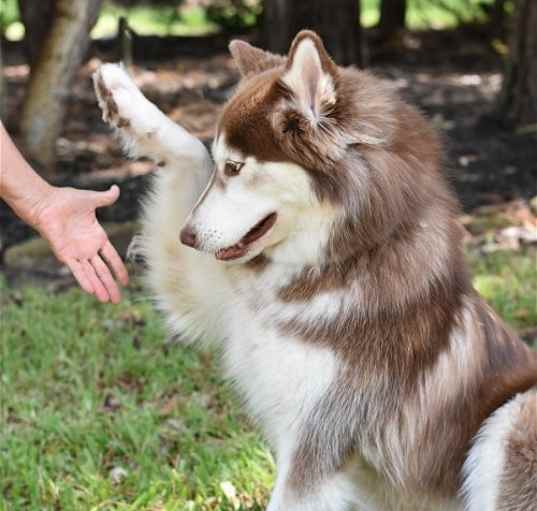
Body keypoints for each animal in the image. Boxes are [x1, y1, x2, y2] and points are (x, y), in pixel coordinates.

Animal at [94, 30, 536, 510]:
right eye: (222, 164)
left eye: (235, 167)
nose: (187, 237)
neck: (341, 261)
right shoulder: (213, 301)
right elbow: (189, 153)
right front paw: (124, 98)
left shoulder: (317, 444)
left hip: (513, 416)